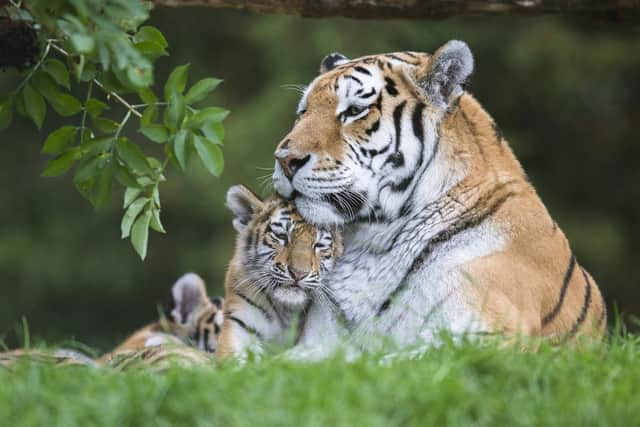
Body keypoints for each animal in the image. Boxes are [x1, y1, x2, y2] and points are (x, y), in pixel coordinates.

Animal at [271, 40, 606, 350]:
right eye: (303, 112)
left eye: (354, 111)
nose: (284, 159)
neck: (369, 244)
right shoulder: (317, 343)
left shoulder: (486, 338)